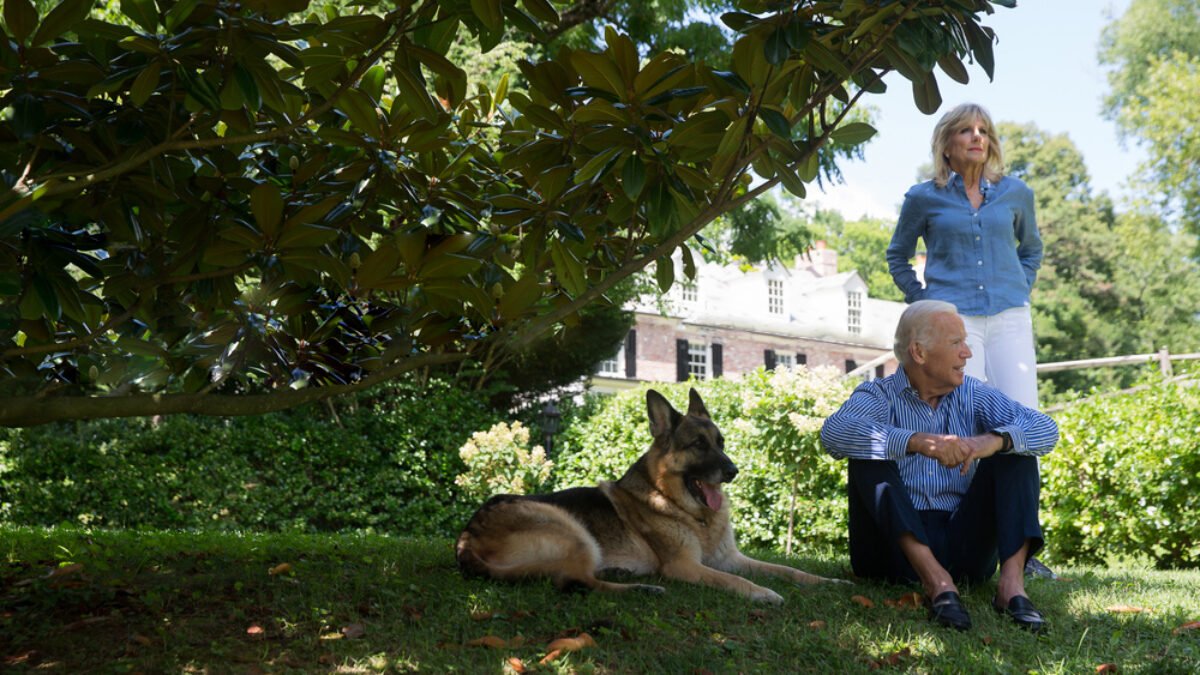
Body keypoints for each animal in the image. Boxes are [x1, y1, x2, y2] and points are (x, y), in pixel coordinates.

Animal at [453, 386, 840, 600]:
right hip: (572, 529)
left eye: (721, 442)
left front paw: (825, 580)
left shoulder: (732, 558)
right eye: (698, 445)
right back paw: (642, 588)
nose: (732, 471)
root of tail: (467, 538)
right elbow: (733, 580)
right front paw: (762, 592)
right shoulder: (686, 566)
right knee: (572, 581)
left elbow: (787, 569)